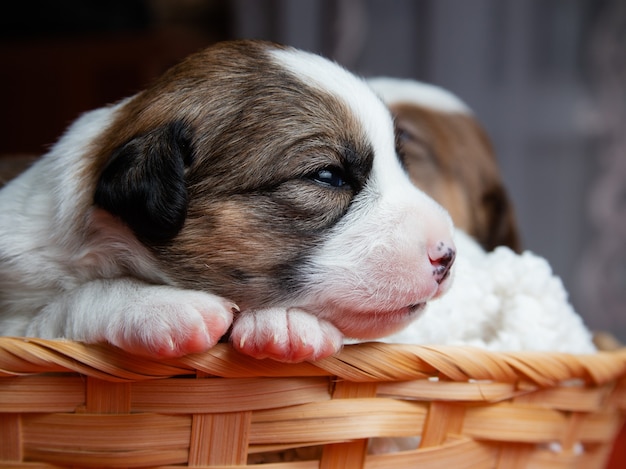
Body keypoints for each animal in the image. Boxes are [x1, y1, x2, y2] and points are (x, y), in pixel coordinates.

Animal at [0, 40, 454, 362]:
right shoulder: (19, 319)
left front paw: (286, 322)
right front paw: (162, 306)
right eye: (328, 176)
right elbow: (73, 301)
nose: (447, 255)